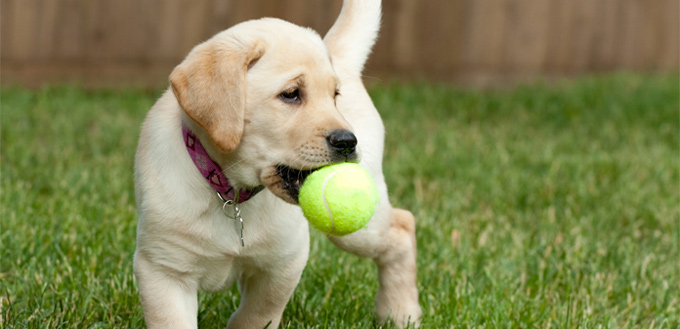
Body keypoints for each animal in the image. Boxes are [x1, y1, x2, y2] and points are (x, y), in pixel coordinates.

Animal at [132, 1, 420, 326]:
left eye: (335, 96)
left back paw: (400, 313)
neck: (231, 194)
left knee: (402, 226)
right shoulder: (163, 269)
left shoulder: (283, 264)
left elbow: (257, 316)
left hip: (360, 228)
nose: (348, 141)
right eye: (291, 94)